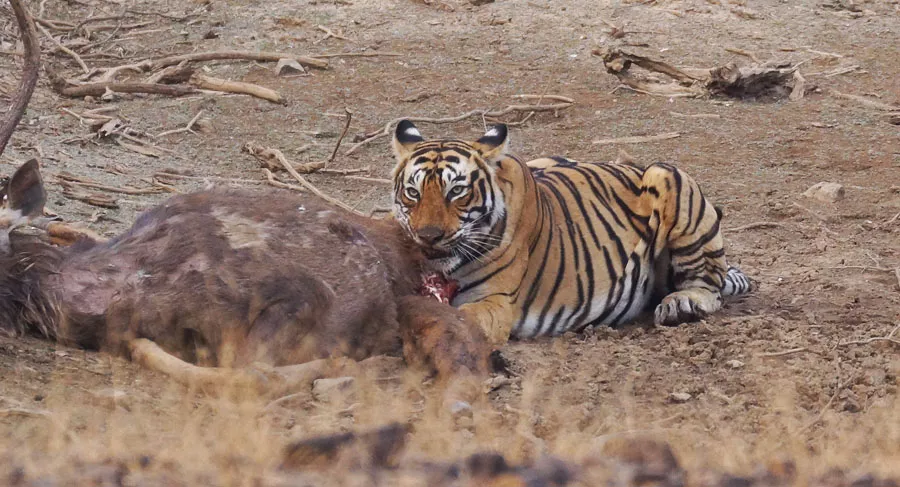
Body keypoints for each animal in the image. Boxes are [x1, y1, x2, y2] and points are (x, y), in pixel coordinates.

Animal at [390, 120, 752, 346]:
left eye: (456, 192)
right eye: (413, 192)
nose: (429, 235)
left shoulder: (495, 302)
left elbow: (458, 319)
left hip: (669, 175)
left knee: (710, 288)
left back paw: (681, 305)